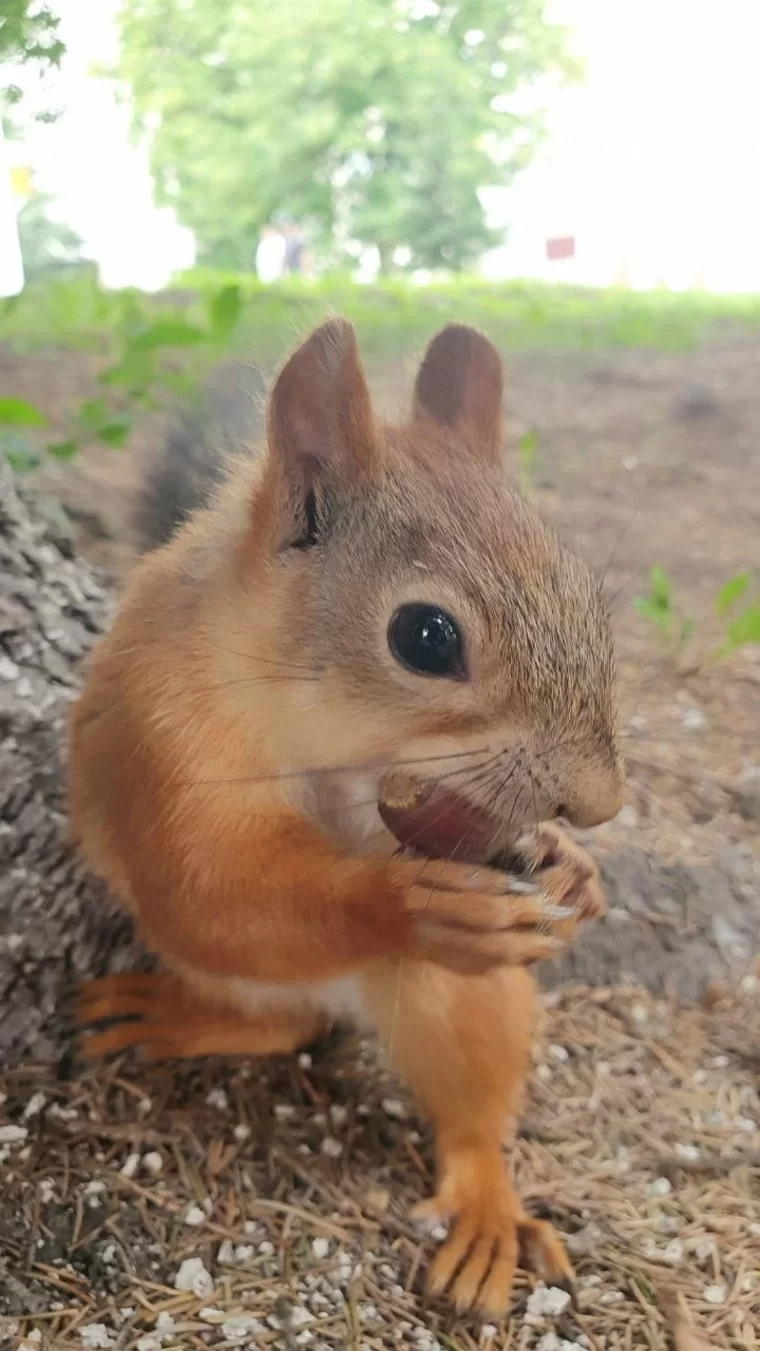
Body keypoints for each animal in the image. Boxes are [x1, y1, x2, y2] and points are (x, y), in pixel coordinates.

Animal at [69, 321, 623, 1313]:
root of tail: (341, 991)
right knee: (282, 1019)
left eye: (588, 599)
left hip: (464, 999)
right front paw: (408, 902)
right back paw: (175, 1014)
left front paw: (573, 866)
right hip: (245, 975)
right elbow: (205, 887)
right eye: (426, 637)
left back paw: (487, 1212)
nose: (601, 802)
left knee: (468, 1114)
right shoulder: (159, 742)